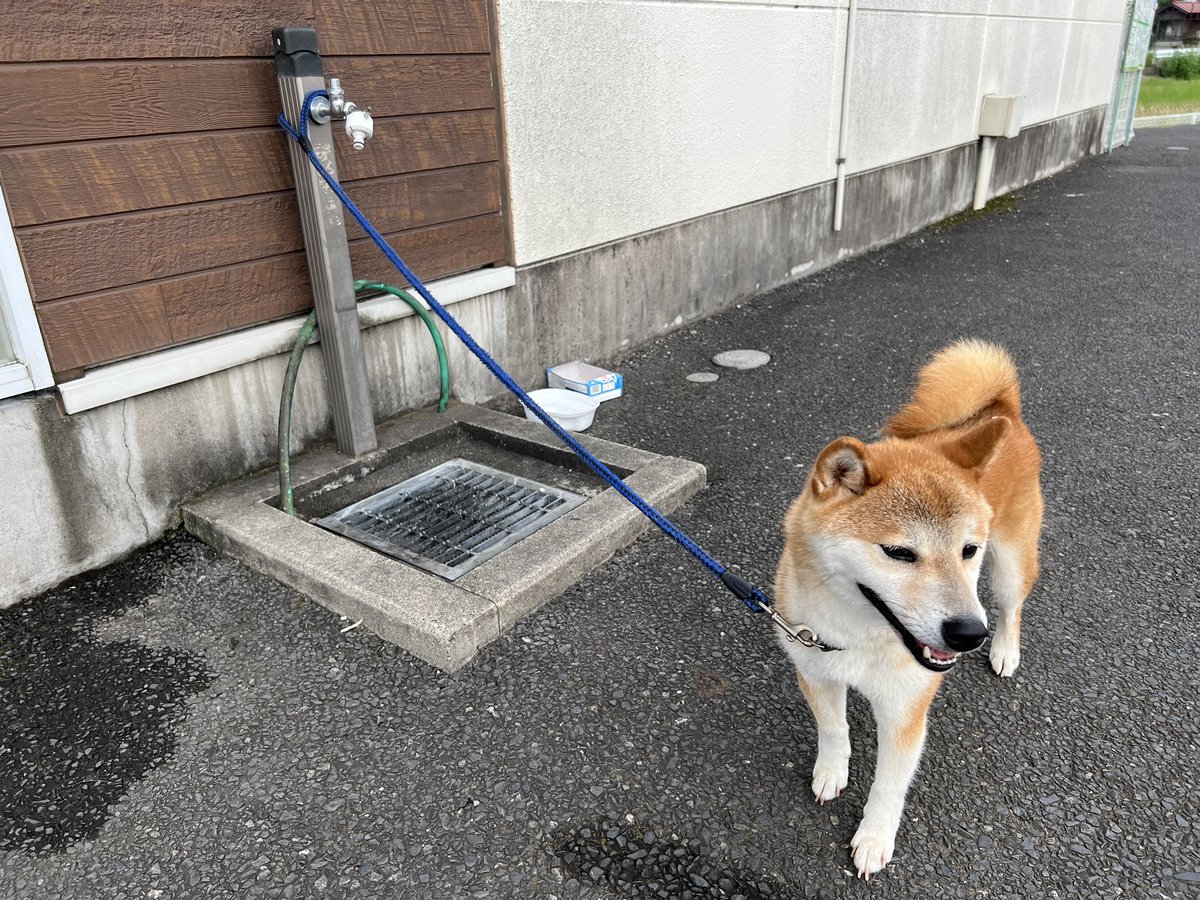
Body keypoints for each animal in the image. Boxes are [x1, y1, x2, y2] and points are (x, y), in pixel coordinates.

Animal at [777, 340, 1041, 883]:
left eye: (968, 550)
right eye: (899, 553)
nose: (968, 634)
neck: (857, 636)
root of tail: (1003, 410)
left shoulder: (905, 708)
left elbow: (888, 784)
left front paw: (874, 839)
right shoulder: (815, 668)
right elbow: (833, 729)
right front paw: (831, 771)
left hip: (1010, 565)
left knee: (1011, 607)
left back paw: (1005, 650)